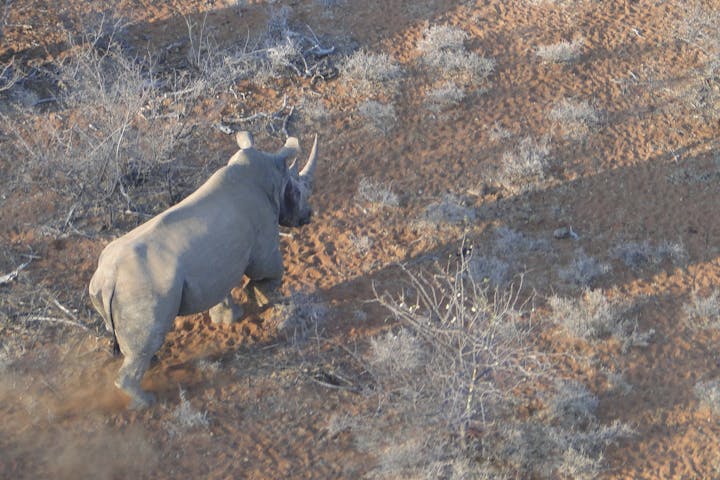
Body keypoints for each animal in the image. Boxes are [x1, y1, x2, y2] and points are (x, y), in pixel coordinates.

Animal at [88, 131, 318, 408]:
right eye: (299, 190)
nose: (308, 215)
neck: (272, 176)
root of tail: (108, 279)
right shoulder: (264, 249)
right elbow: (268, 275)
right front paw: (264, 302)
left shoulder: (217, 264)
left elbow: (222, 290)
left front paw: (229, 317)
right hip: (140, 289)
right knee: (149, 338)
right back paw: (147, 401)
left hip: (107, 288)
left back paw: (150, 366)